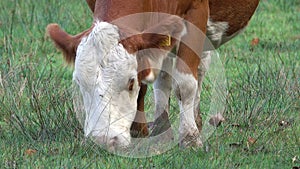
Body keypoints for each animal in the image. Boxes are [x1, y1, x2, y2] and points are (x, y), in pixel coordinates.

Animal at [47, 0, 260, 149]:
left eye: (130, 82)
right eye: (80, 84)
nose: (104, 140)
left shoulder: (196, 11)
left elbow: (184, 85)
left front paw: (190, 137)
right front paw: (144, 130)